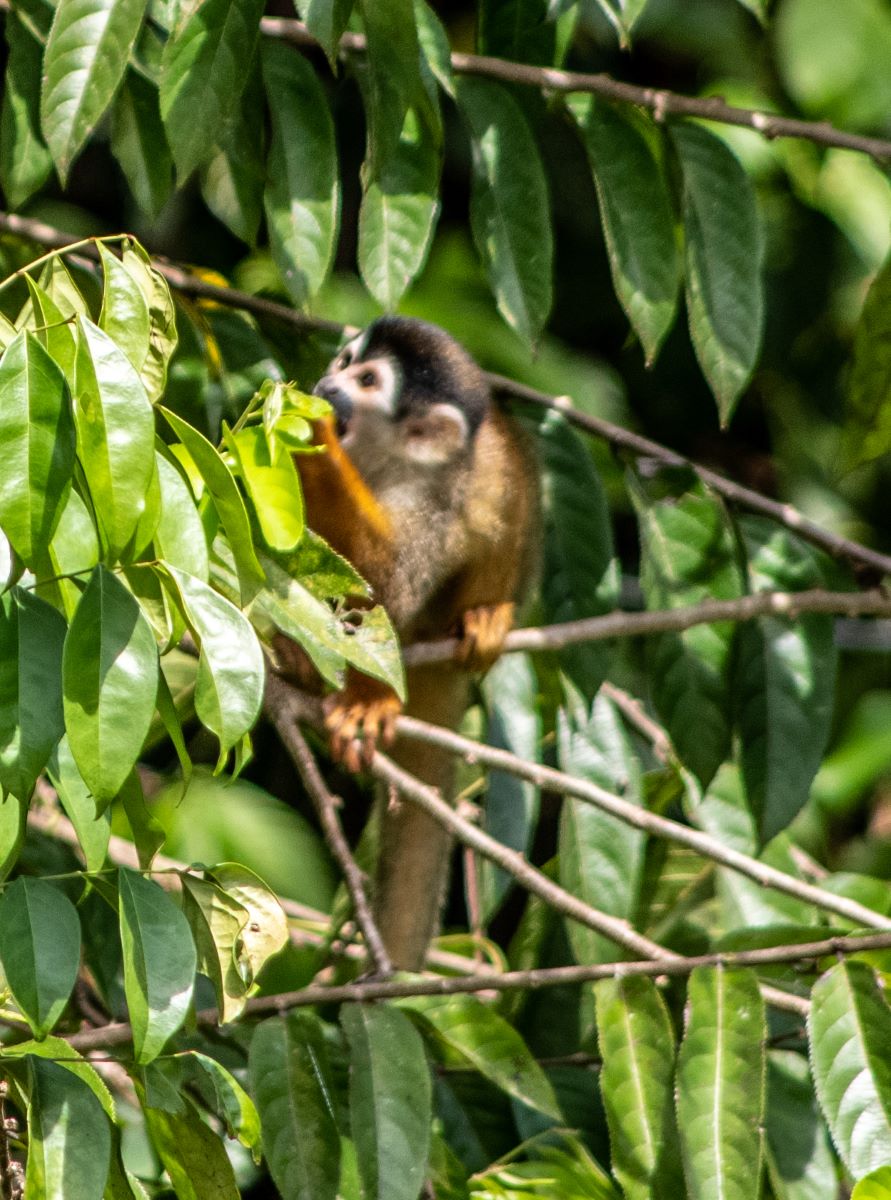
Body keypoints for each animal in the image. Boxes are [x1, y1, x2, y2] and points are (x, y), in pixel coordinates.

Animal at [290, 316, 538, 971]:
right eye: (346, 360)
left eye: (368, 382)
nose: (329, 385)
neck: (383, 465)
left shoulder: (430, 503)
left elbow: (383, 590)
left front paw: (316, 440)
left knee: (504, 488)